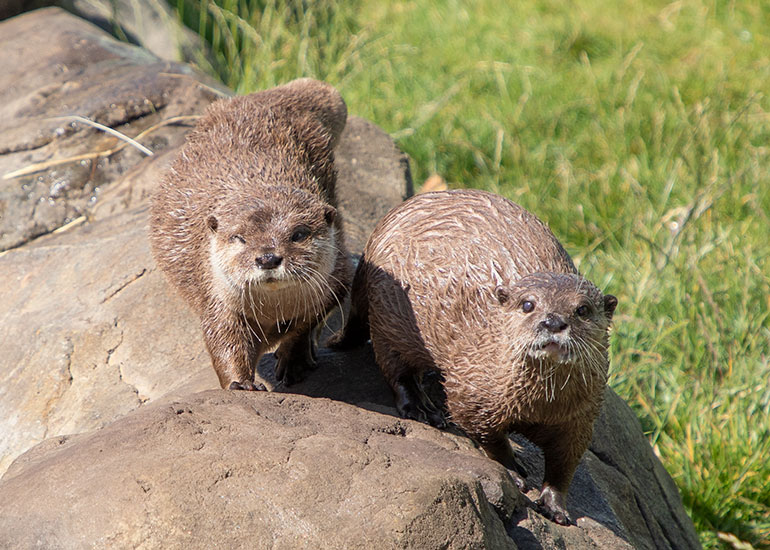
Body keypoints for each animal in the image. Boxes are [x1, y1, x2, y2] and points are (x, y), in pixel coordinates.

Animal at [150, 78, 353, 390]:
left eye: (298, 234)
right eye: (239, 237)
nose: (268, 258)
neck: (273, 311)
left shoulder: (337, 277)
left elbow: (305, 324)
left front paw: (294, 358)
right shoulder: (217, 300)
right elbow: (224, 342)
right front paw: (241, 383)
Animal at [331, 189, 617, 525]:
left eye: (582, 309)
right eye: (528, 304)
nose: (553, 322)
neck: (540, 405)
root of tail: (376, 237)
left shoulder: (580, 419)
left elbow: (565, 464)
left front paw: (555, 505)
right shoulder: (471, 393)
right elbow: (489, 437)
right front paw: (512, 471)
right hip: (389, 314)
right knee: (394, 366)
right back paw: (422, 409)